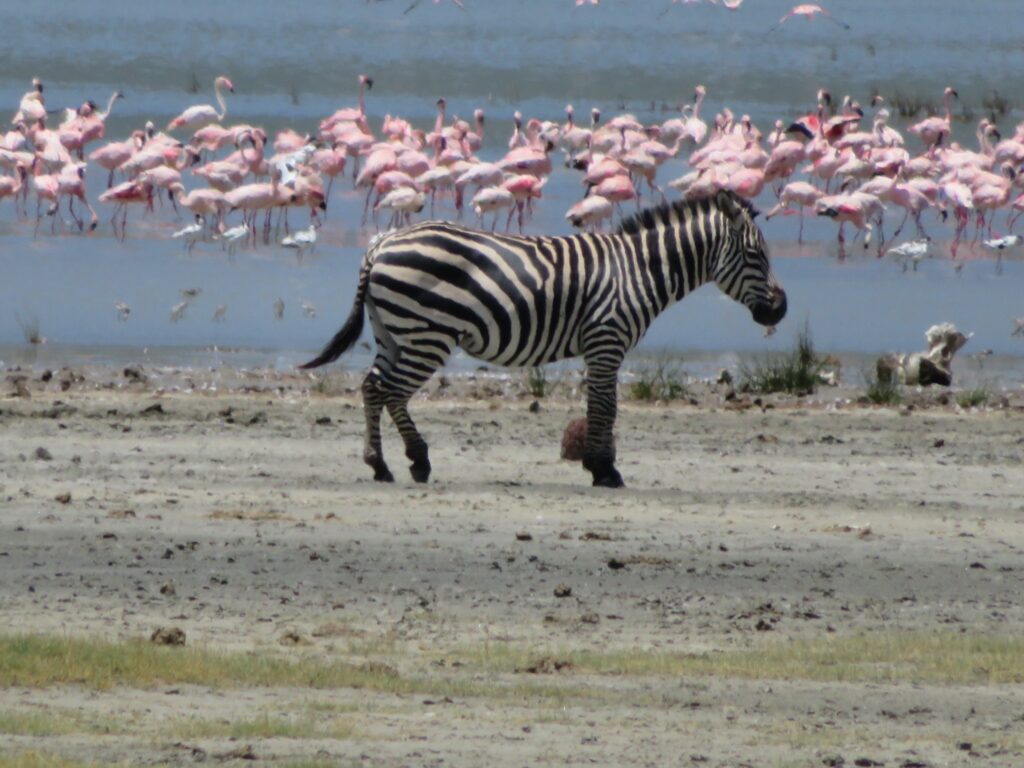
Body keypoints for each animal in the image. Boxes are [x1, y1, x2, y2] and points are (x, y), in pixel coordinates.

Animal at [299, 191, 786, 487]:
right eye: (755, 255)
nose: (780, 309)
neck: (639, 270)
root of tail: (380, 244)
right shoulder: (607, 341)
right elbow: (605, 406)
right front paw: (604, 469)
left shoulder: (599, 347)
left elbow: (600, 405)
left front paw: (597, 464)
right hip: (426, 333)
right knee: (390, 391)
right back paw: (406, 461)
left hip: (393, 332)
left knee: (373, 388)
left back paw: (387, 463)